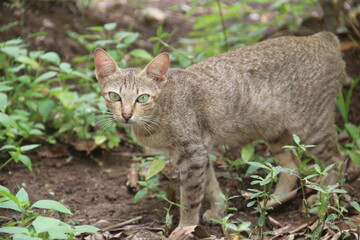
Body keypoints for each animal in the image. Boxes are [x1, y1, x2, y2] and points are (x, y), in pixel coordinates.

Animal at [93, 31, 346, 226]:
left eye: (142, 98)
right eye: (114, 96)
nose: (126, 115)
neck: (161, 110)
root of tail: (322, 37)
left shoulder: (192, 152)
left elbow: (191, 198)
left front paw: (184, 229)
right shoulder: (199, 151)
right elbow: (210, 186)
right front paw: (218, 212)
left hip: (312, 127)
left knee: (337, 158)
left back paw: (324, 199)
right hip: (275, 132)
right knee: (291, 165)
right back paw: (273, 202)